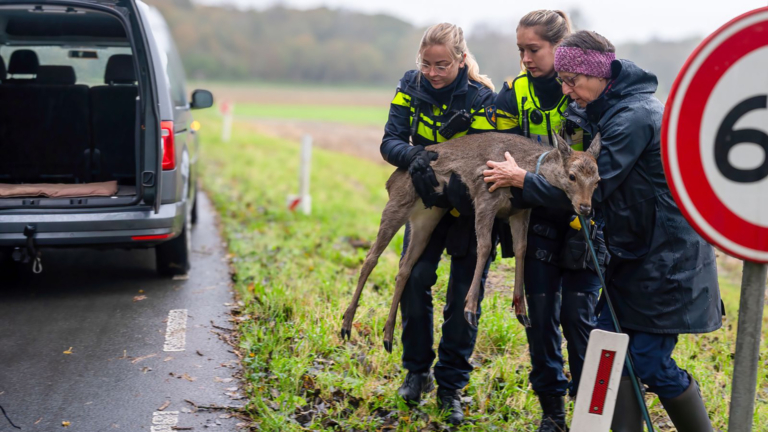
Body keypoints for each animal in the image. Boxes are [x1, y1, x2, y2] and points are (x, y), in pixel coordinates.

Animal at [340, 131, 600, 352]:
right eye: (572, 176)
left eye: (597, 180)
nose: (586, 208)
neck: (525, 165)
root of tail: (390, 180)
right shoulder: (485, 197)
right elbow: (484, 247)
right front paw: (470, 308)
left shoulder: (520, 211)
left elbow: (521, 249)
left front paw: (521, 309)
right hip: (397, 204)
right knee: (370, 258)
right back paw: (346, 324)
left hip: (427, 217)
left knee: (404, 267)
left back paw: (387, 335)